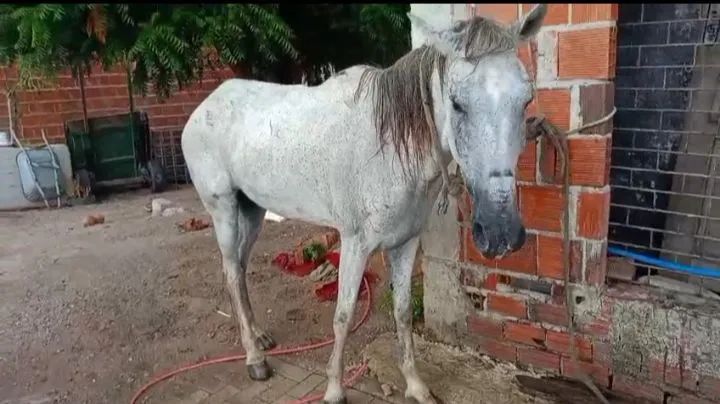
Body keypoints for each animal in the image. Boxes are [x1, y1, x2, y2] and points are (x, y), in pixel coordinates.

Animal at [181, 4, 547, 403]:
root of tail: (203, 107)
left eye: (526, 99)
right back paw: (254, 359)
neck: (390, 149)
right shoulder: (354, 244)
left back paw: (260, 338)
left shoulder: (406, 243)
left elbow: (403, 313)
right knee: (233, 272)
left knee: (240, 268)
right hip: (223, 211)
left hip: (253, 211)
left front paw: (415, 385)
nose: (500, 233)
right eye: (456, 103)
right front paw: (334, 390)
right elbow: (343, 316)